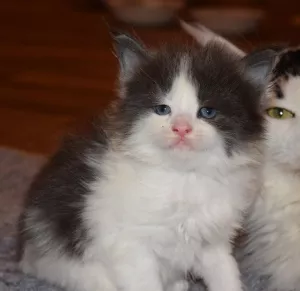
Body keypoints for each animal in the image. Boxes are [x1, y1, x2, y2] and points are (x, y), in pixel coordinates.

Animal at [19, 30, 276, 291]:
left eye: (207, 112)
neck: (183, 178)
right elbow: (146, 282)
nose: (181, 128)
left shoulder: (213, 241)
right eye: (162, 109)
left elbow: (226, 274)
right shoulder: (131, 247)